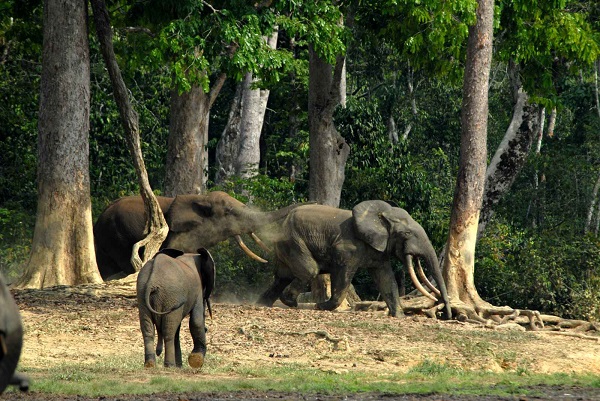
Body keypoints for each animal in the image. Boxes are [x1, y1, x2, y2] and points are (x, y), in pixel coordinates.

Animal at [256, 200, 450, 318]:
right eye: (407, 234)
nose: (445, 315)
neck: (380, 215)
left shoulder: (378, 251)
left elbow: (386, 279)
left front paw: (399, 316)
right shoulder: (347, 248)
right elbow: (343, 276)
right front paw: (321, 306)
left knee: (282, 276)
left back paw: (263, 303)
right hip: (293, 240)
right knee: (309, 271)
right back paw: (289, 301)